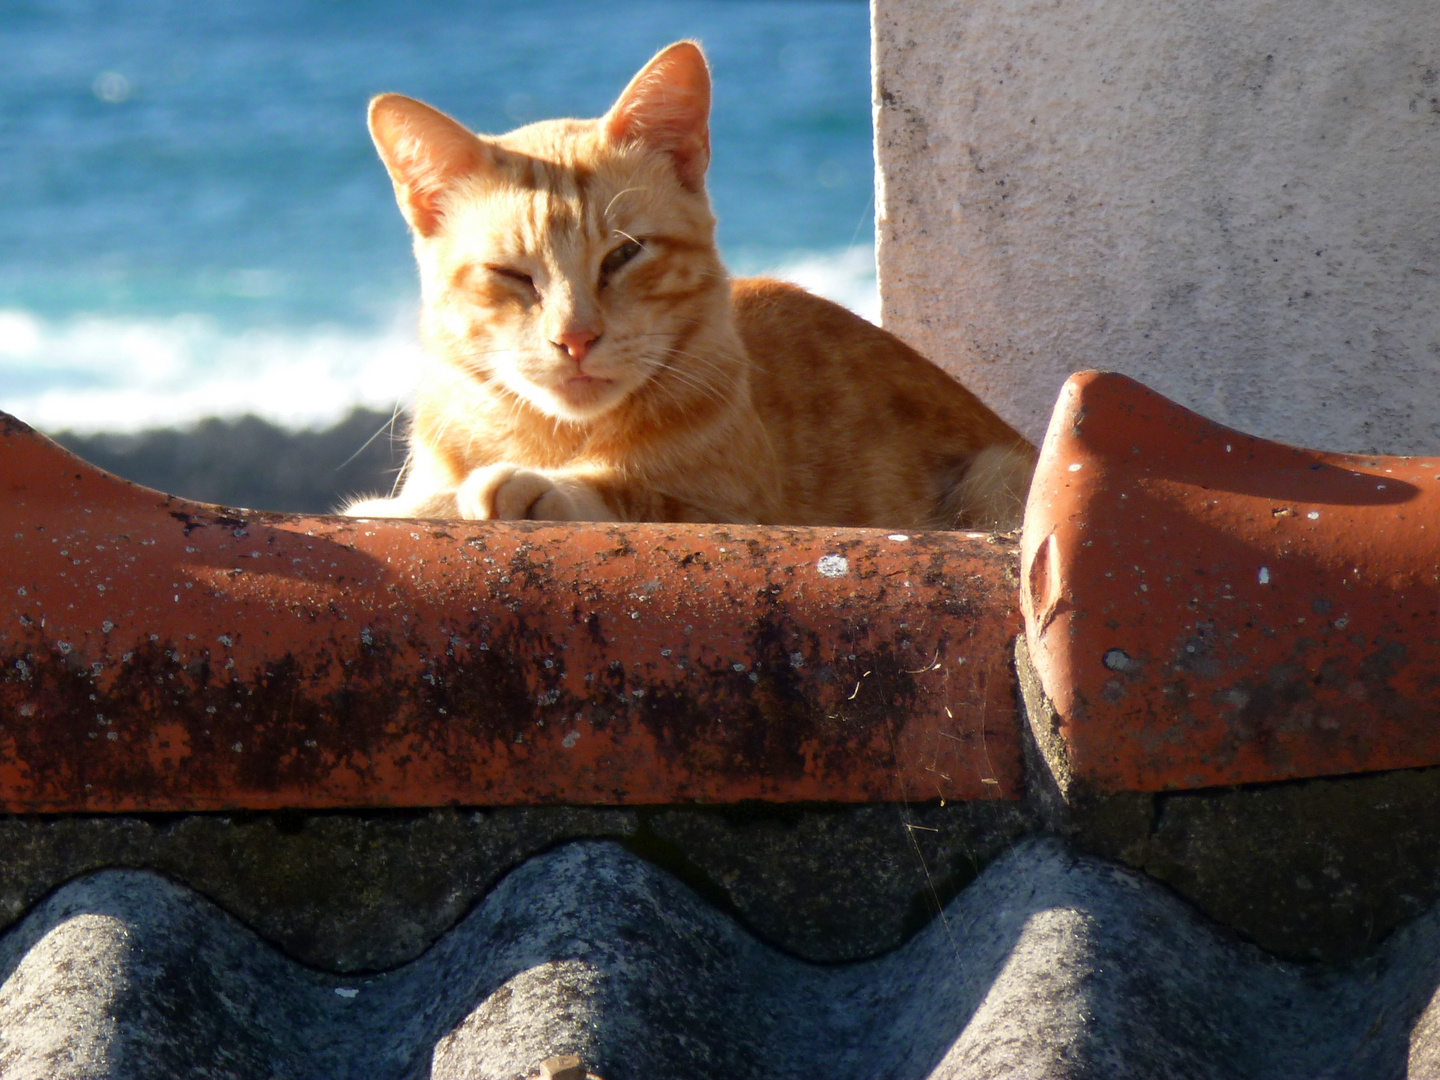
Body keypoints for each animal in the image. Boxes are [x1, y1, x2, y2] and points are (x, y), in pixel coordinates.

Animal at [347, 43, 1036, 532]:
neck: (555, 435)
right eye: (513, 275)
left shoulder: (738, 511)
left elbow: (637, 493)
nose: (576, 339)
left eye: (624, 255)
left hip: (995, 478)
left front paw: (527, 488)